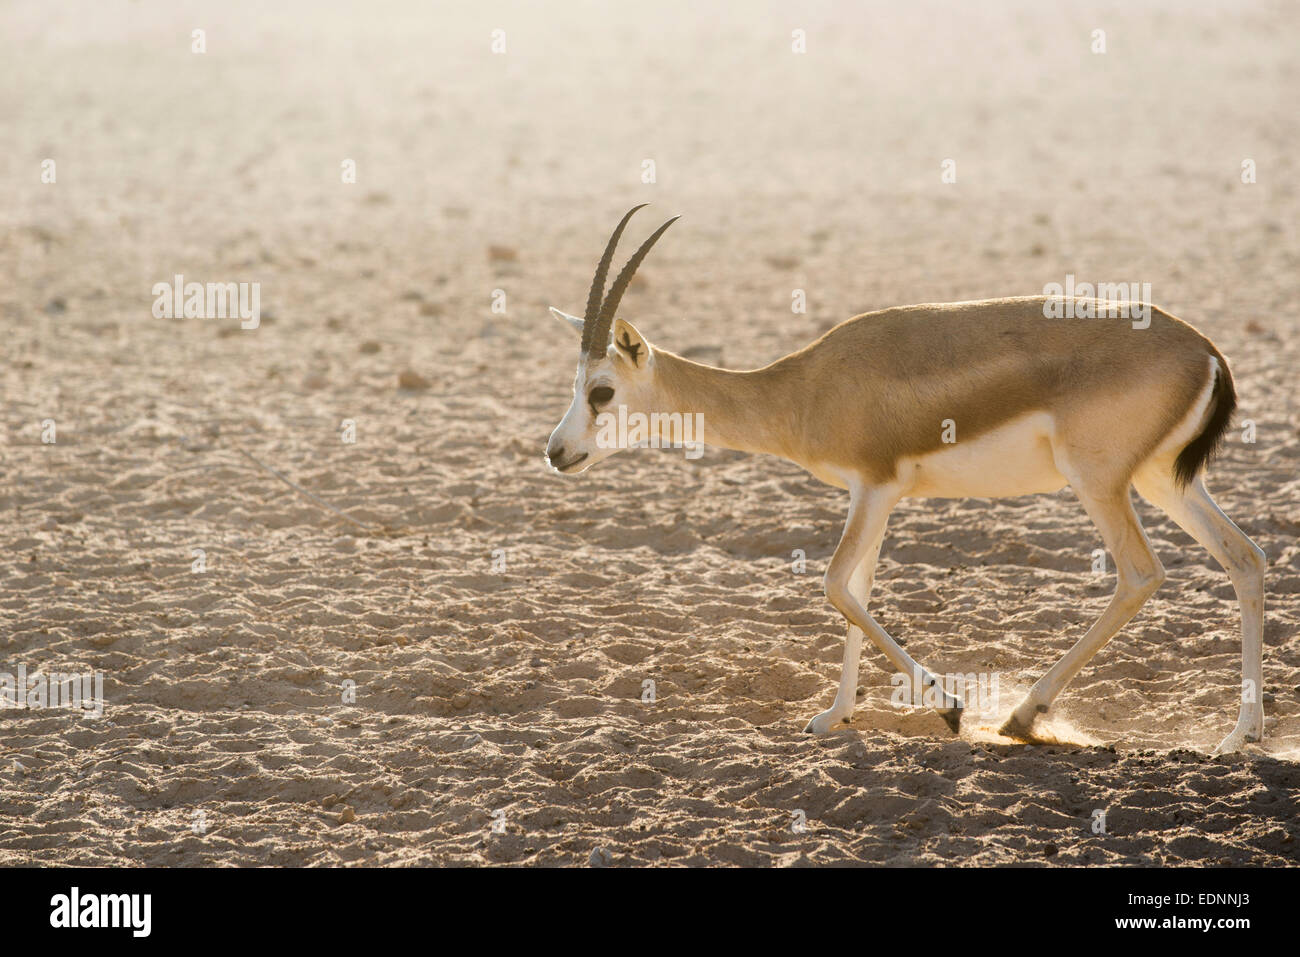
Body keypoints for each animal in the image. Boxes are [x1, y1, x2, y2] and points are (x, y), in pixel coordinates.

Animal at [544, 205, 1266, 755]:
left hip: (1098, 482)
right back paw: (1241, 737)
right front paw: (834, 716)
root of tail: (1206, 350)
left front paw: (949, 706)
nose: (557, 451)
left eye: (602, 390)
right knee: (1246, 557)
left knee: (1140, 573)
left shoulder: (874, 488)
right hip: (1161, 482)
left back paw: (1021, 716)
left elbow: (836, 584)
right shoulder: (878, 497)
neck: (804, 388)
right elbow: (856, 589)